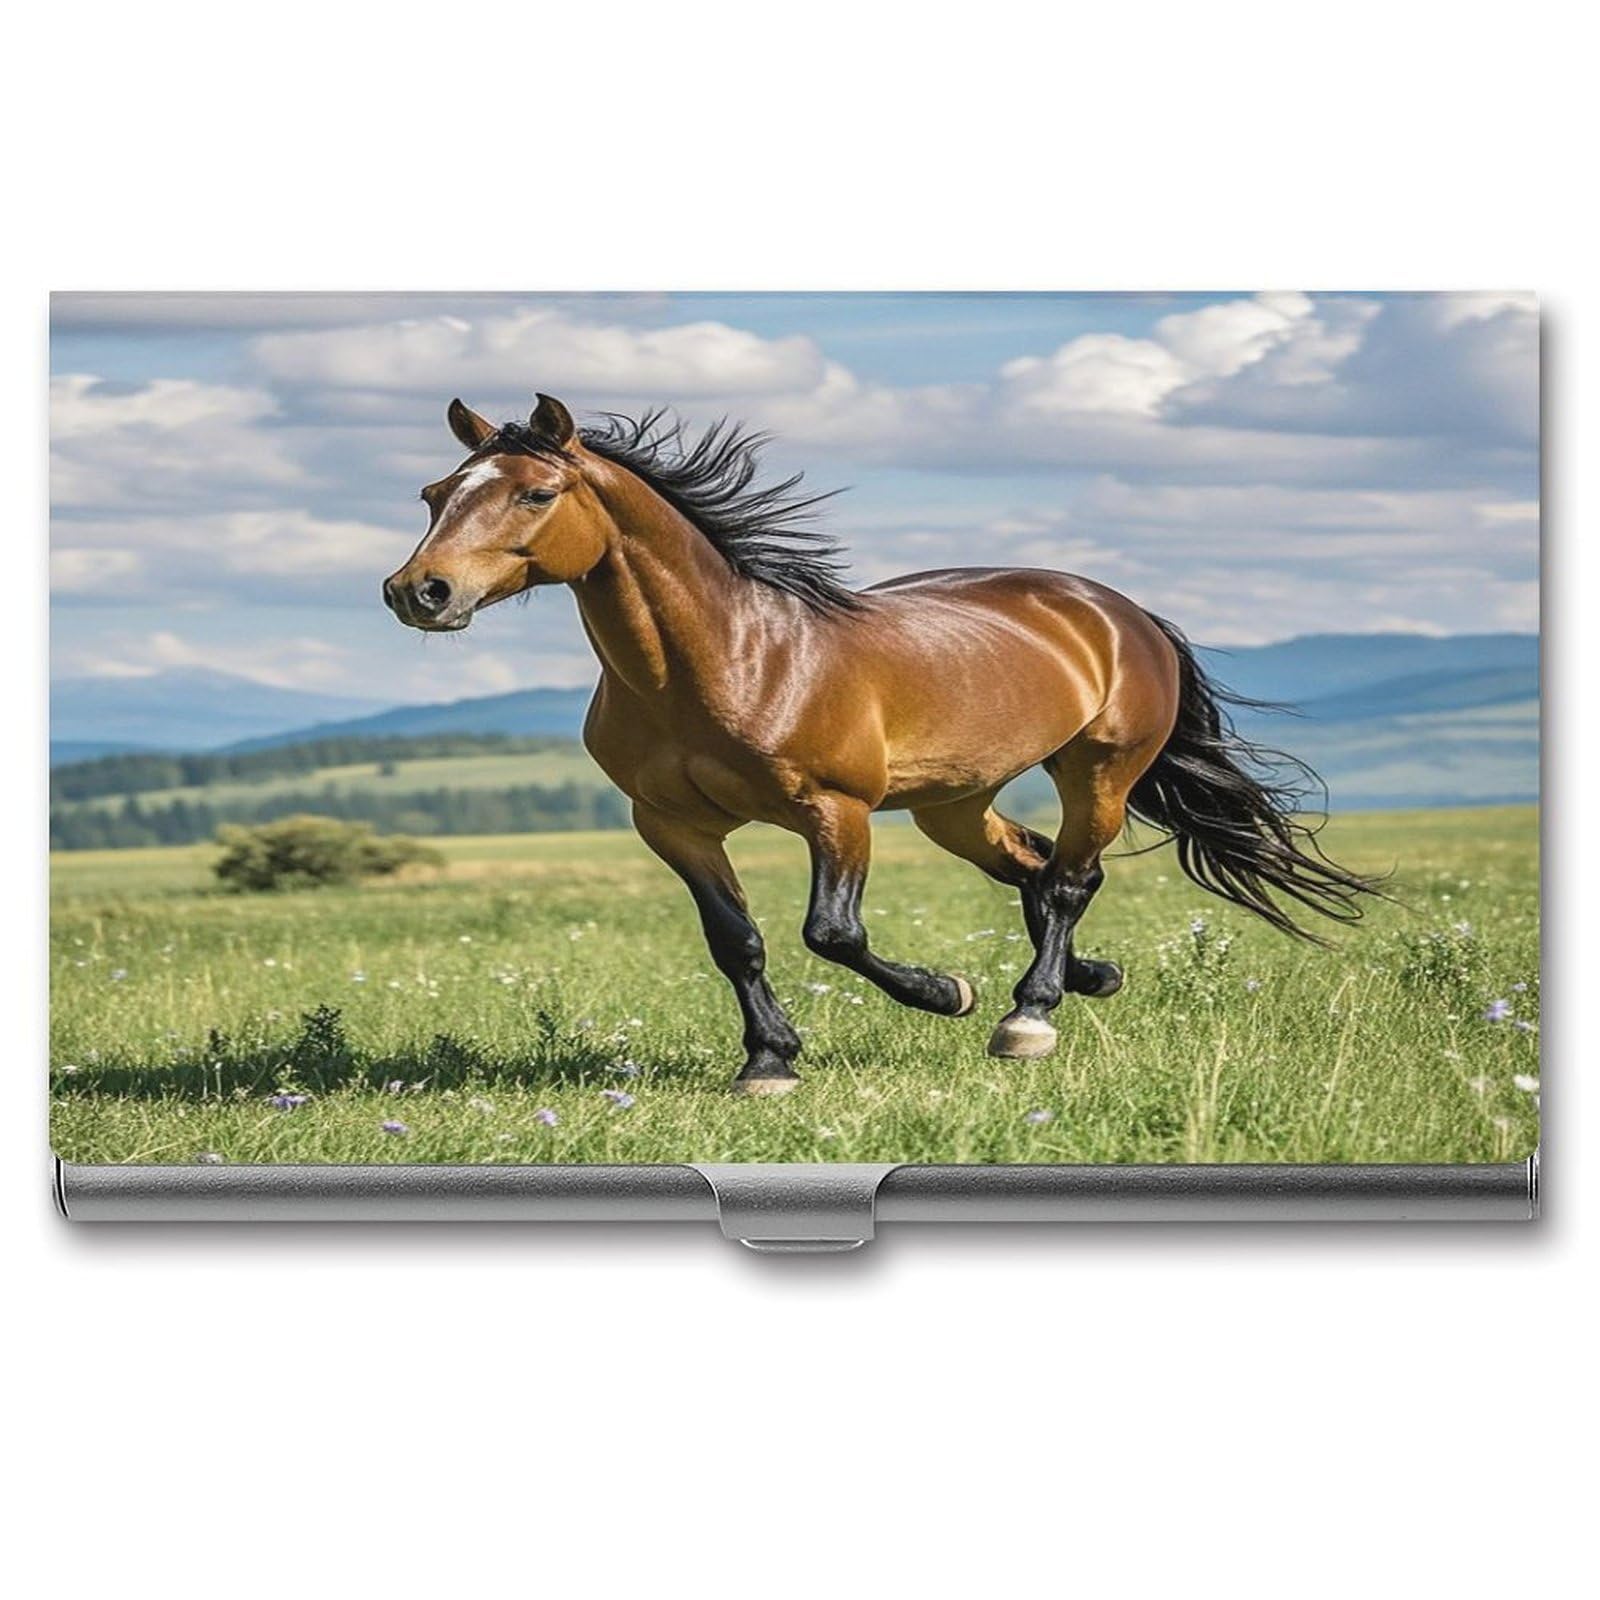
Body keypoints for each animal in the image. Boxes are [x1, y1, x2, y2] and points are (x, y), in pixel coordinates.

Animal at [383, 394, 1377, 1095]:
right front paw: (769, 1063)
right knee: (1035, 865)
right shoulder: (671, 826)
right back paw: (1089, 977)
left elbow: (832, 933)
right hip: (954, 804)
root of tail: (1120, 610)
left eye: (537, 492)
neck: (728, 659)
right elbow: (736, 942)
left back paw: (1028, 1017)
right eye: (434, 496)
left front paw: (947, 994)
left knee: (1070, 877)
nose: (418, 592)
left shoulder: (837, 811)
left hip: (1100, 768)